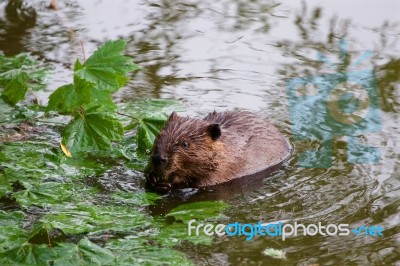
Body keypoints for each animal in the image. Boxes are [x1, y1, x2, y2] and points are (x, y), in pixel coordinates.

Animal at [145, 110, 292, 193]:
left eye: (185, 144)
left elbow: (200, 184)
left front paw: (166, 184)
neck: (227, 147)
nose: (159, 158)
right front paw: (151, 177)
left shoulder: (225, 167)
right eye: (159, 134)